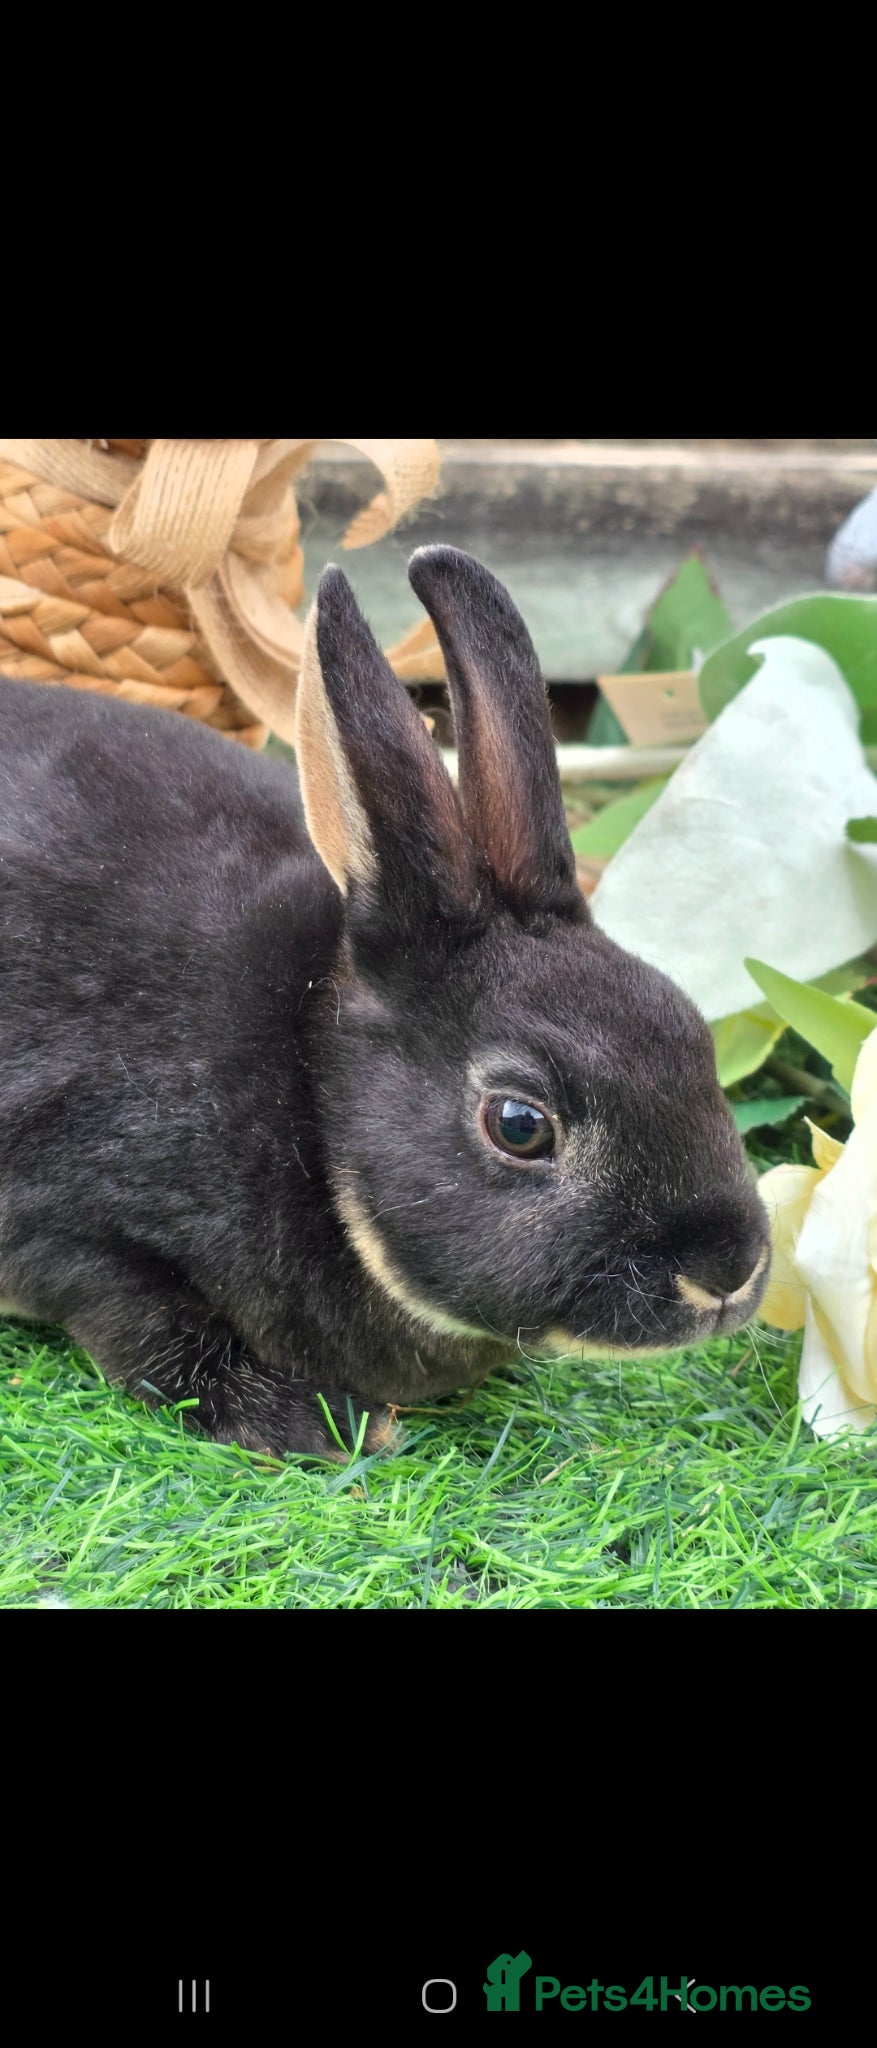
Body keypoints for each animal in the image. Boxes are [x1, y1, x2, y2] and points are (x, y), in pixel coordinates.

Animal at [0, 546, 770, 1458]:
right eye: (520, 1125)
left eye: (690, 1030)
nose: (725, 1271)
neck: (310, 1092)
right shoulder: (74, 1220)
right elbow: (150, 1327)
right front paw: (321, 1425)